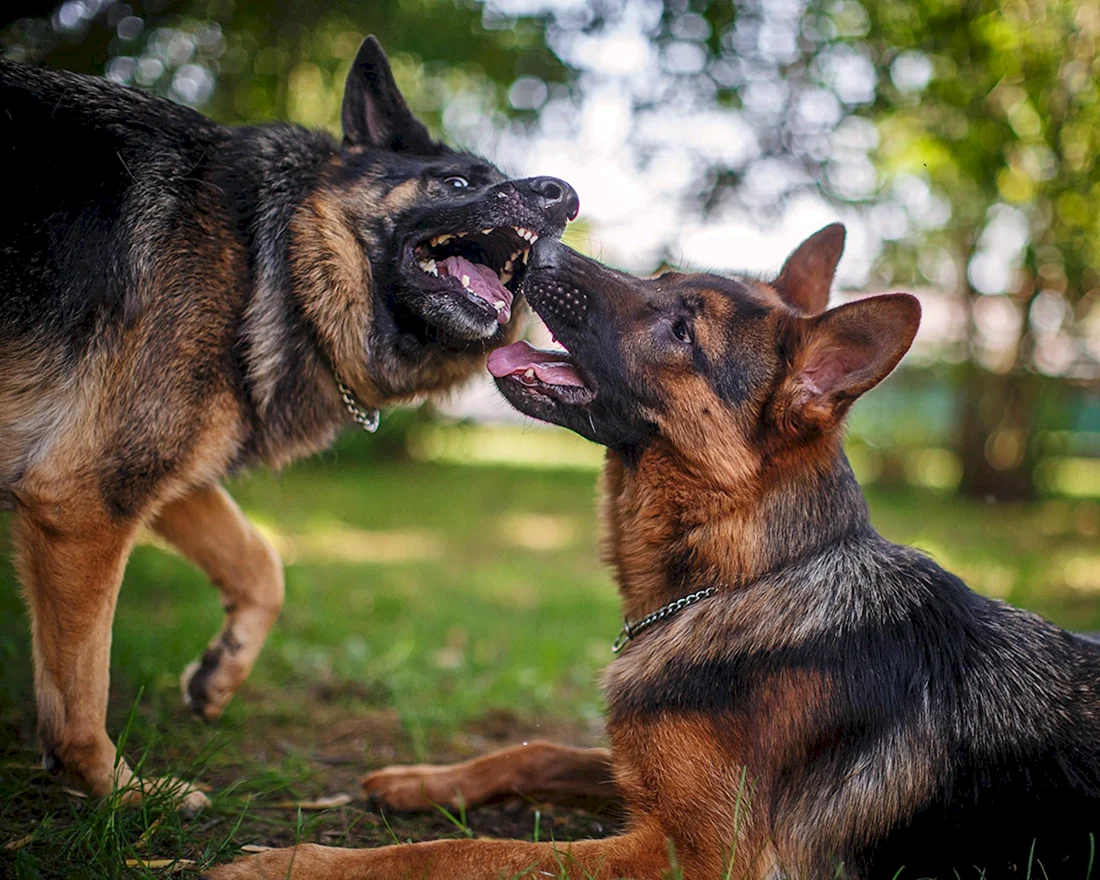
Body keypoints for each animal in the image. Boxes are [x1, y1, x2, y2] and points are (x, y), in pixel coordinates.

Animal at [0, 39, 580, 809]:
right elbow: (80, 686)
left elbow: (260, 562)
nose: (565, 196)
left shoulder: (148, 475)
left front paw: (220, 672)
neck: (268, 254)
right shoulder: (84, 499)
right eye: (457, 181)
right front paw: (120, 792)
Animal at [212, 228, 1100, 880]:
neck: (745, 582)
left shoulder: (691, 855)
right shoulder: (641, 790)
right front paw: (422, 782)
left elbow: (472, 853)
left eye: (682, 329)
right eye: (662, 277)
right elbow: (535, 751)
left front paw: (295, 864)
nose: (538, 248)